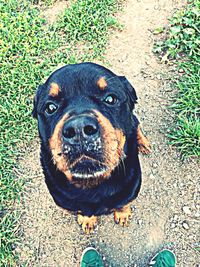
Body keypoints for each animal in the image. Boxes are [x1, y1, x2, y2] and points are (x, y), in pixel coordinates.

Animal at [32, 62, 151, 234]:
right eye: (50, 107)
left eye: (110, 99)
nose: (79, 129)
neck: (93, 183)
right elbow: (84, 211)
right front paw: (87, 220)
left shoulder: (131, 188)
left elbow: (123, 203)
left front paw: (122, 214)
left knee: (136, 123)